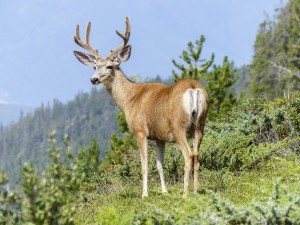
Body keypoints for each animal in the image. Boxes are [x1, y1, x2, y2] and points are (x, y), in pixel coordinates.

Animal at [72, 17, 209, 197]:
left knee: (189, 156)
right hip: (200, 125)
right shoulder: (159, 137)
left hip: (179, 126)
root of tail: (193, 89)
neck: (130, 99)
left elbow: (144, 165)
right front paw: (164, 191)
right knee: (197, 155)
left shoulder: (140, 131)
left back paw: (185, 193)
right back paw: (196, 191)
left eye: (110, 66)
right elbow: (159, 165)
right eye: (95, 66)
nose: (93, 79)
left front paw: (144, 194)